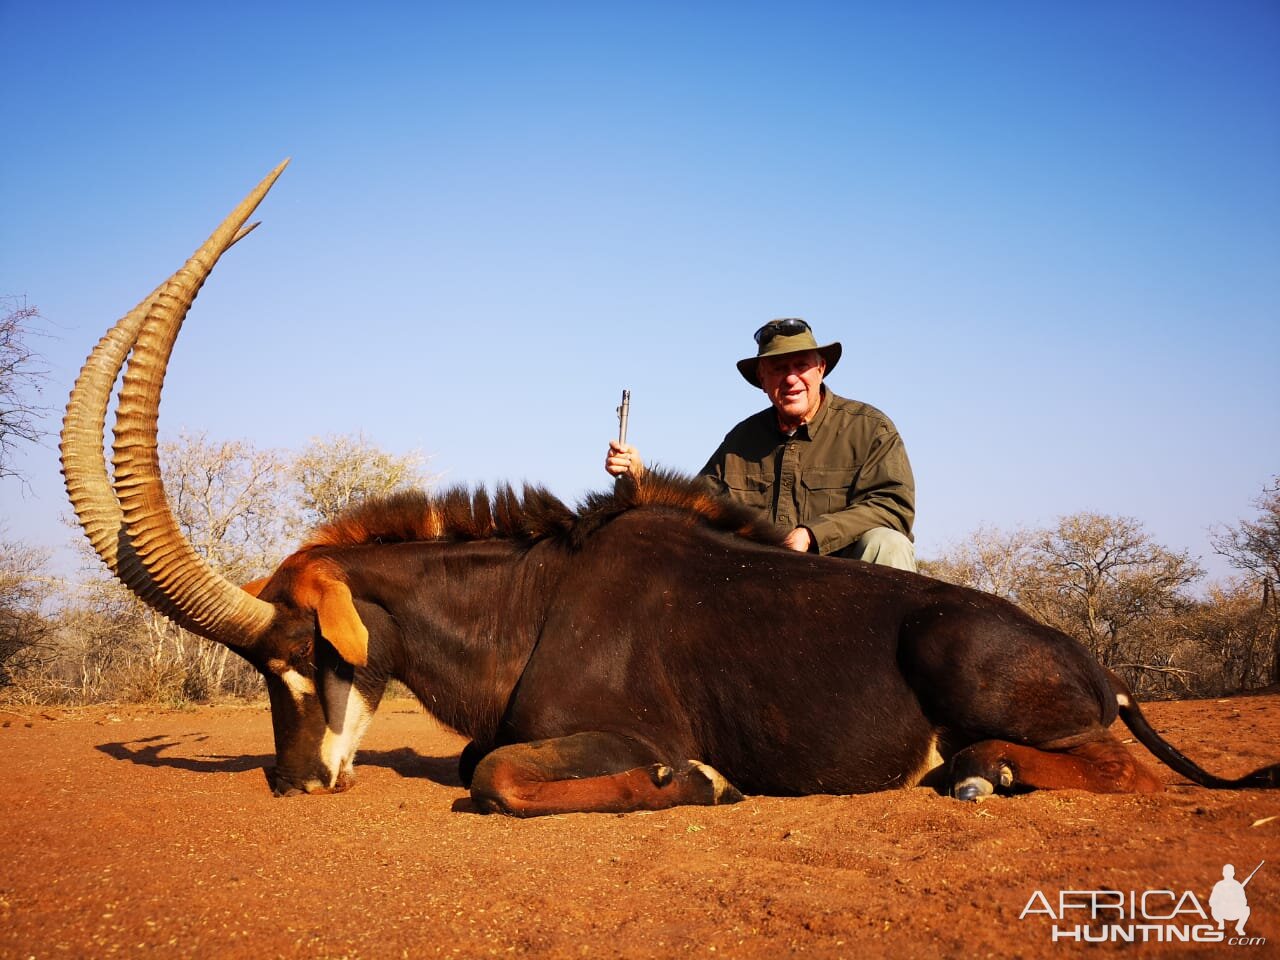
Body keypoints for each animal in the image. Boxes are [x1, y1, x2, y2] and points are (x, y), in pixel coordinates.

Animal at [62, 163, 1280, 819]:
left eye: (289, 657)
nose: (291, 782)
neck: (527, 604)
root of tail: (1093, 662)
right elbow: (476, 760)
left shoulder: (612, 733)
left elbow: (496, 775)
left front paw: (698, 783)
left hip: (973, 668)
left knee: (1120, 774)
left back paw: (984, 775)